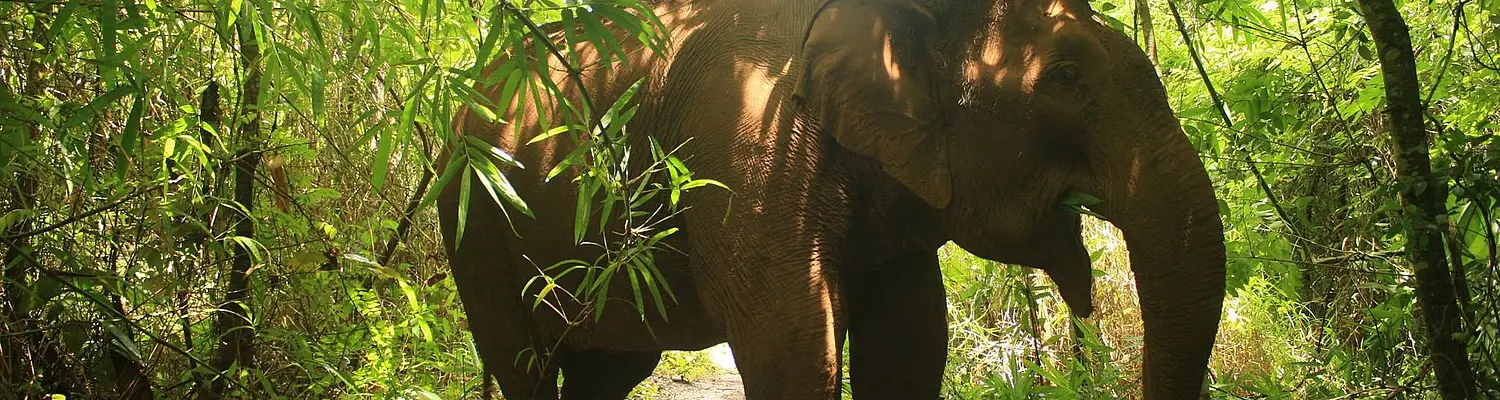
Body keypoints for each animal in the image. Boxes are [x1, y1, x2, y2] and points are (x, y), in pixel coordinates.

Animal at [436, 0, 1227, 398]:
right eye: (1065, 77)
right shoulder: (747, 139)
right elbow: (793, 349)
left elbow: (910, 345)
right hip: (474, 230)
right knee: (525, 365)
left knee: (607, 371)